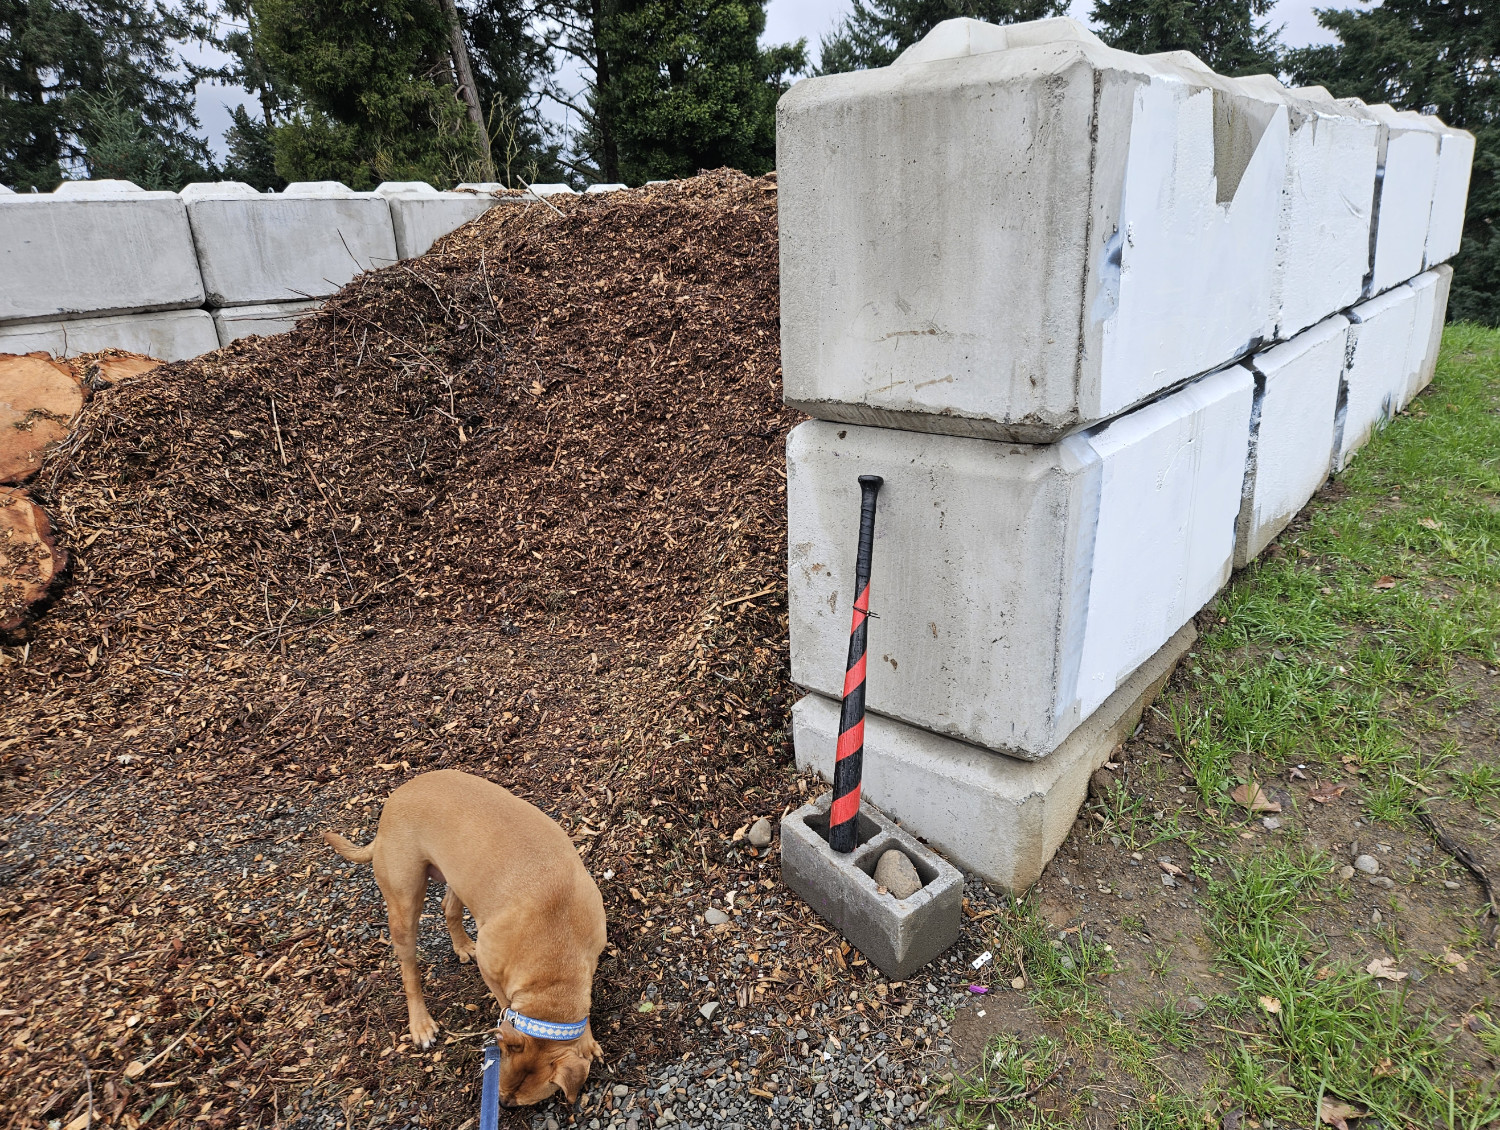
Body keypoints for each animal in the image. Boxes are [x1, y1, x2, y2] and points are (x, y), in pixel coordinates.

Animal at [325, 768, 606, 1104]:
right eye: (503, 1087)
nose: (502, 1104)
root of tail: (392, 803)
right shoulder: (492, 968)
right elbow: (505, 1004)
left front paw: (586, 1040)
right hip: (404, 904)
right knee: (409, 970)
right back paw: (421, 1024)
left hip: (459, 875)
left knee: (449, 907)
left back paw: (461, 945)